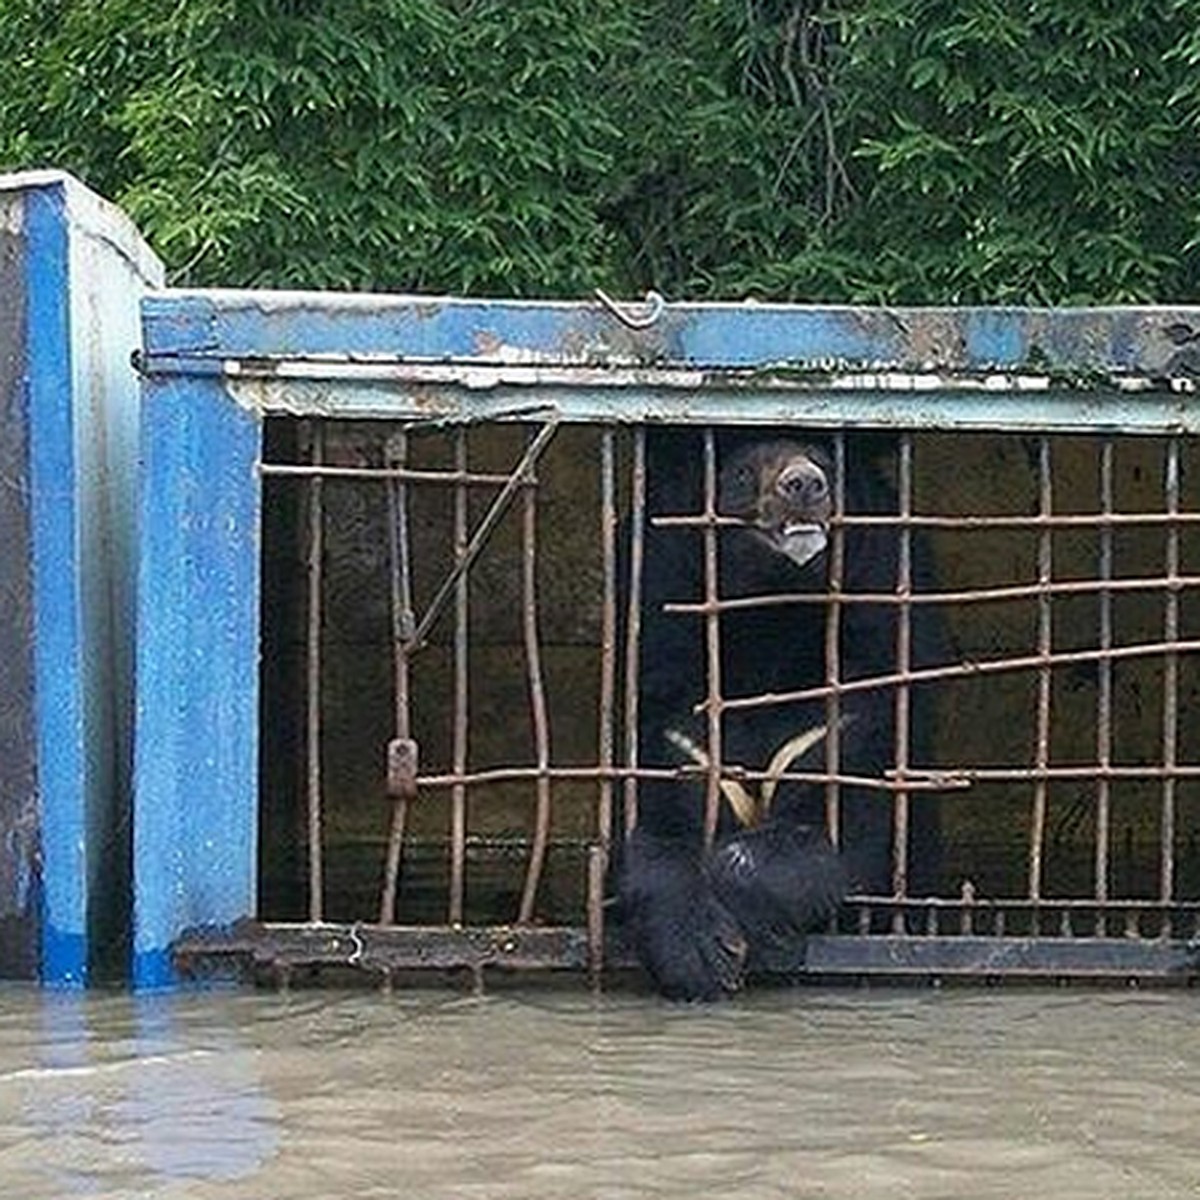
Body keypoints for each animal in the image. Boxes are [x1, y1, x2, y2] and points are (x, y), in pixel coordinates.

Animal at [619, 427, 945, 998]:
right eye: (741, 472)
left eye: (826, 464)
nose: (804, 484)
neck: (771, 618)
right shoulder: (664, 694)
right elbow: (654, 833)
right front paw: (696, 953)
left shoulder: (861, 705)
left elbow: (849, 836)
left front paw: (744, 933)